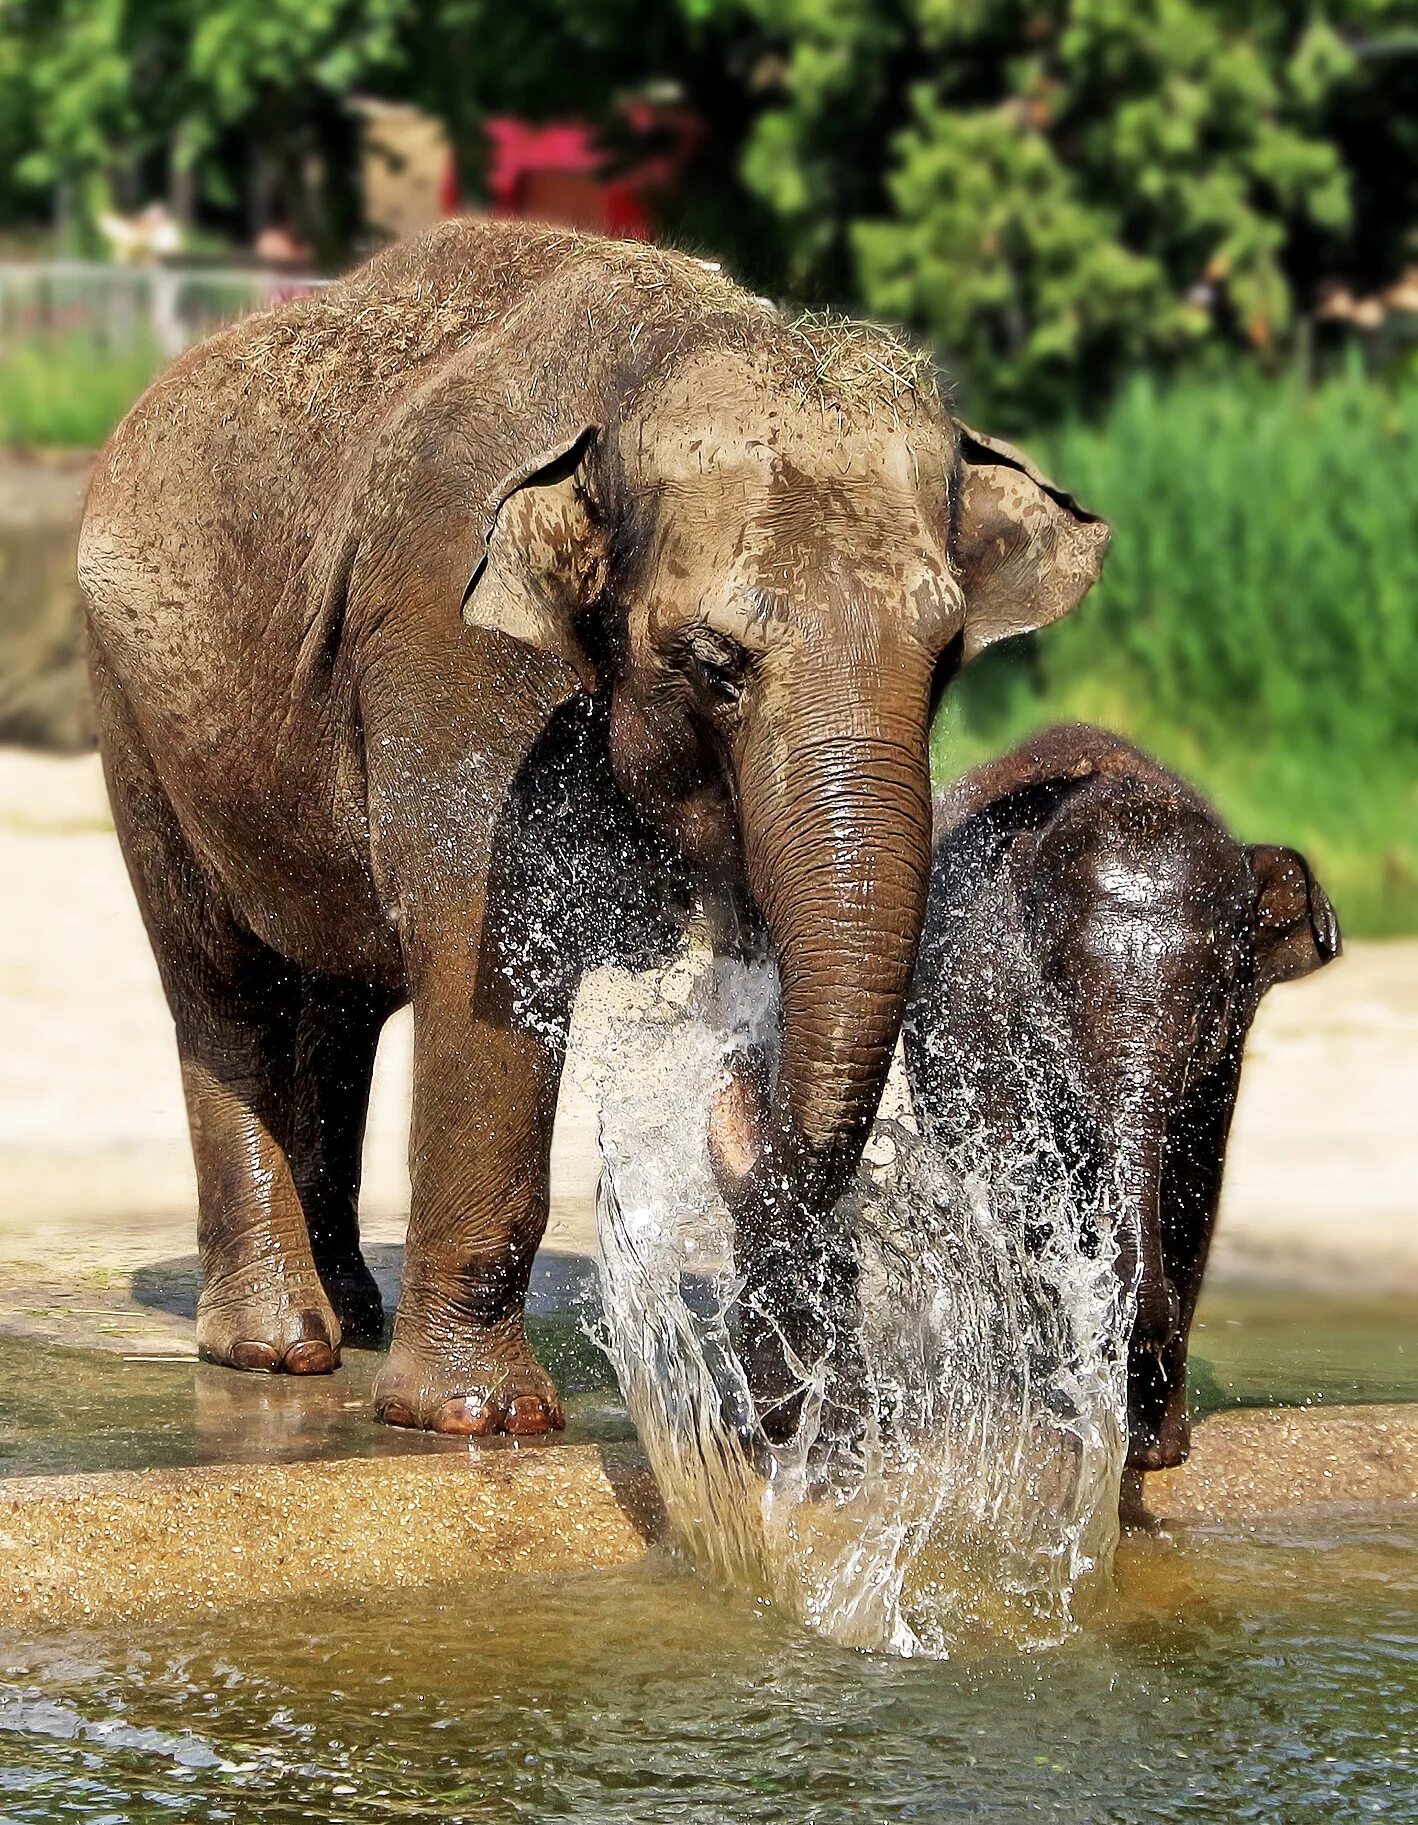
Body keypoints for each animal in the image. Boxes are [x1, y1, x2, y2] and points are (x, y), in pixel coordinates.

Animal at [80, 217, 1109, 1438]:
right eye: (711, 664)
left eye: (947, 656)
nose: (732, 1105)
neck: (650, 366)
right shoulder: (449, 635)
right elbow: (480, 954)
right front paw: (480, 1419)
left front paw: (813, 1411)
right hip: (134, 710)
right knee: (222, 983)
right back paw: (279, 1348)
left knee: (336, 996)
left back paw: (352, 1321)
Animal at [908, 722, 1335, 1467]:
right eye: (1052, 994)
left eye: (1215, 998)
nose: (1140, 1329)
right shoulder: (975, 1007)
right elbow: (1017, 1181)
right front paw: (1071, 1416)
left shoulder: (1223, 1068)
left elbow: (1193, 1187)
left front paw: (1154, 1449)